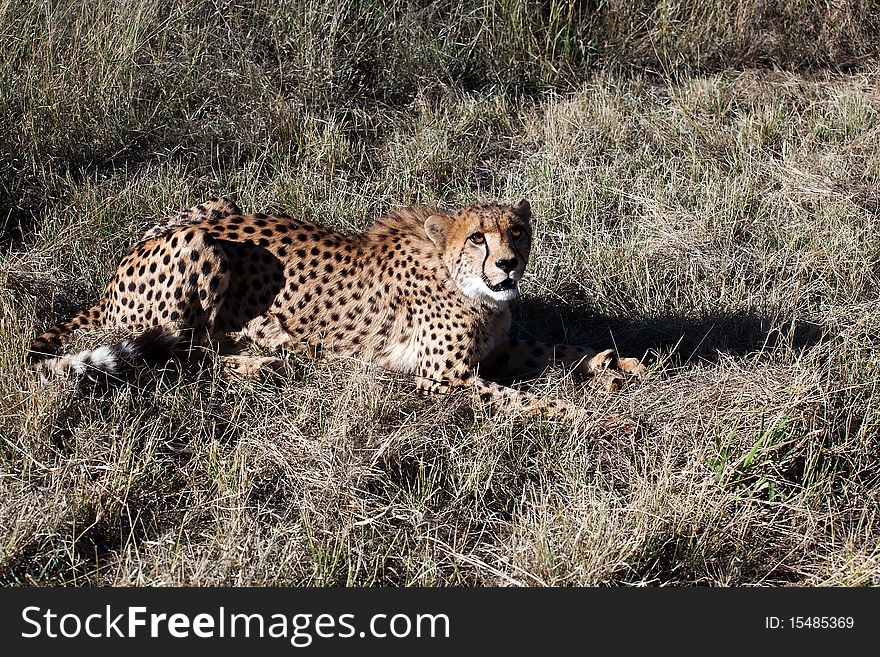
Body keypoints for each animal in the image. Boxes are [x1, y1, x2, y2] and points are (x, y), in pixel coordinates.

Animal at [29, 197, 648, 418]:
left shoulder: (501, 348)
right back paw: (256, 363)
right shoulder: (442, 379)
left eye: (517, 232)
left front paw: (616, 364)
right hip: (200, 247)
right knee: (179, 353)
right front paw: (572, 410)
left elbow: (558, 347)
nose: (508, 265)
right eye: (478, 237)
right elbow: (513, 396)